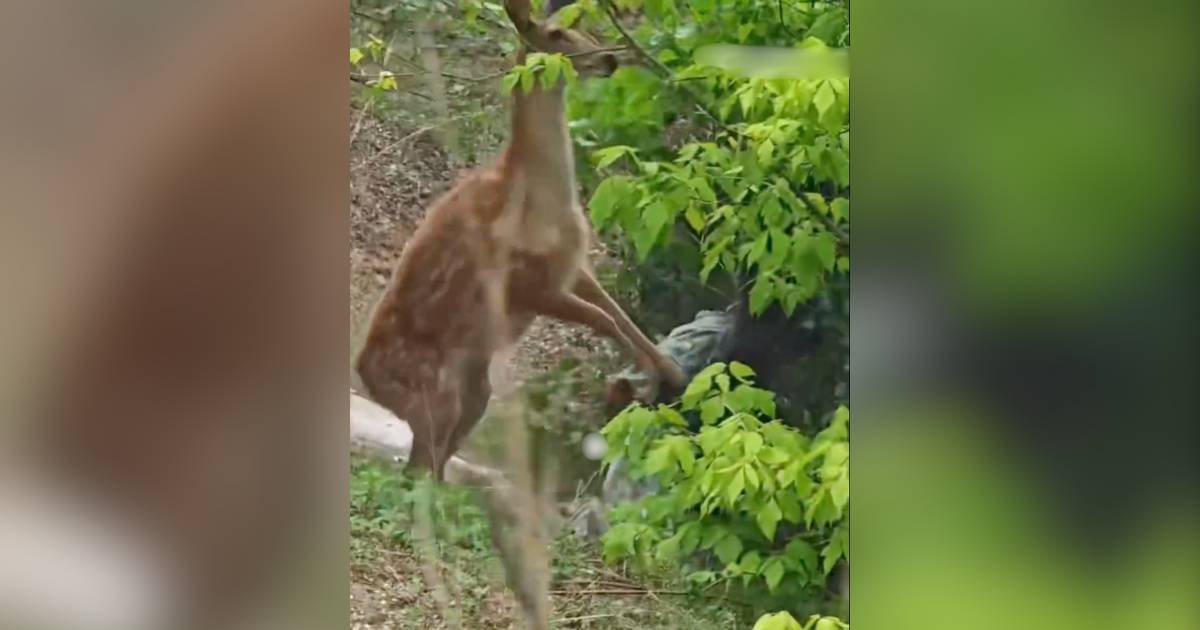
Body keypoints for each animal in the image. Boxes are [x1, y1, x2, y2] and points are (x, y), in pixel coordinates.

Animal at [353, 0, 688, 483]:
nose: (609, 59)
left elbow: (619, 314)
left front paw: (670, 371)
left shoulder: (572, 266)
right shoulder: (527, 283)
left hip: (473, 390)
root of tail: (362, 375)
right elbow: (603, 318)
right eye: (557, 34)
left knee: (433, 464)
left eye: (580, 24)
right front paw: (643, 380)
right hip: (432, 393)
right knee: (418, 470)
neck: (542, 203)